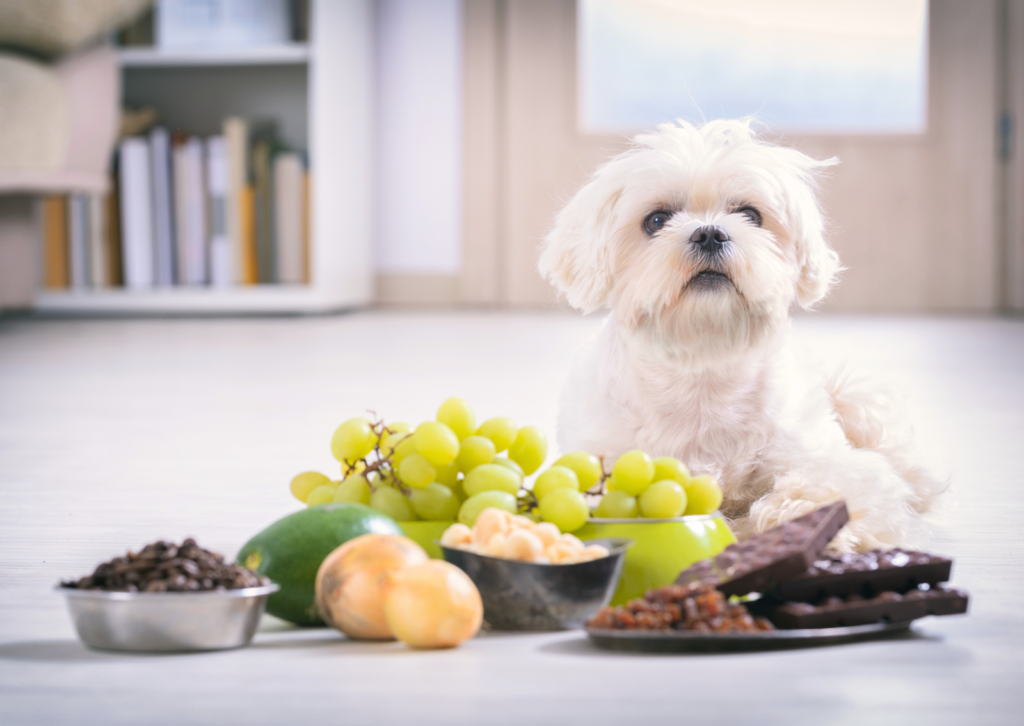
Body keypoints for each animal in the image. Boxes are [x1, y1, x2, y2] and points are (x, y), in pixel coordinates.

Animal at [540, 120, 937, 548]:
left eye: (750, 214)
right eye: (657, 220)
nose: (709, 233)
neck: (704, 366)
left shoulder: (825, 459)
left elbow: (832, 486)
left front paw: (802, 522)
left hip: (853, 397)